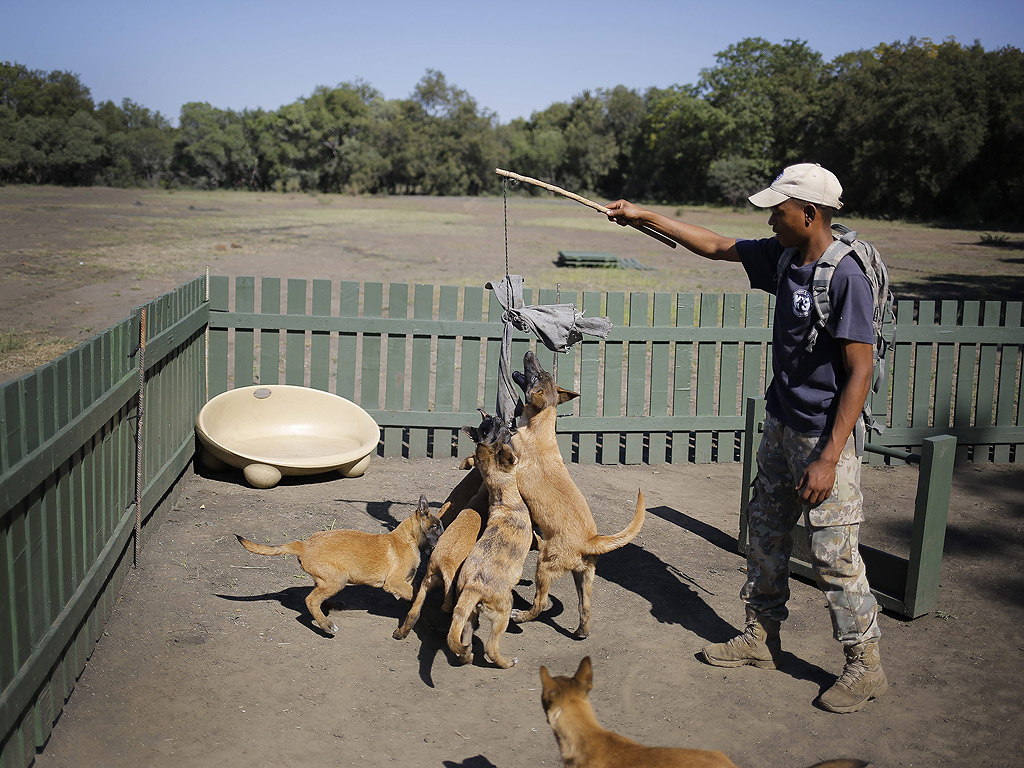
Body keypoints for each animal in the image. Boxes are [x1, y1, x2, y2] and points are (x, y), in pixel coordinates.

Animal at [446, 415, 532, 667]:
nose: (503, 424)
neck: (504, 501)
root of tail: (473, 586)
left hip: (469, 617)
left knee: (464, 642)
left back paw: (466, 655)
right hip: (502, 613)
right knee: (491, 648)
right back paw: (507, 662)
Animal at [512, 352, 647, 638]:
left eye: (537, 375)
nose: (530, 353)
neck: (540, 426)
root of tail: (590, 540)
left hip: (544, 564)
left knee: (540, 603)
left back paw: (521, 616)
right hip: (583, 577)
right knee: (585, 608)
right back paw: (580, 632)